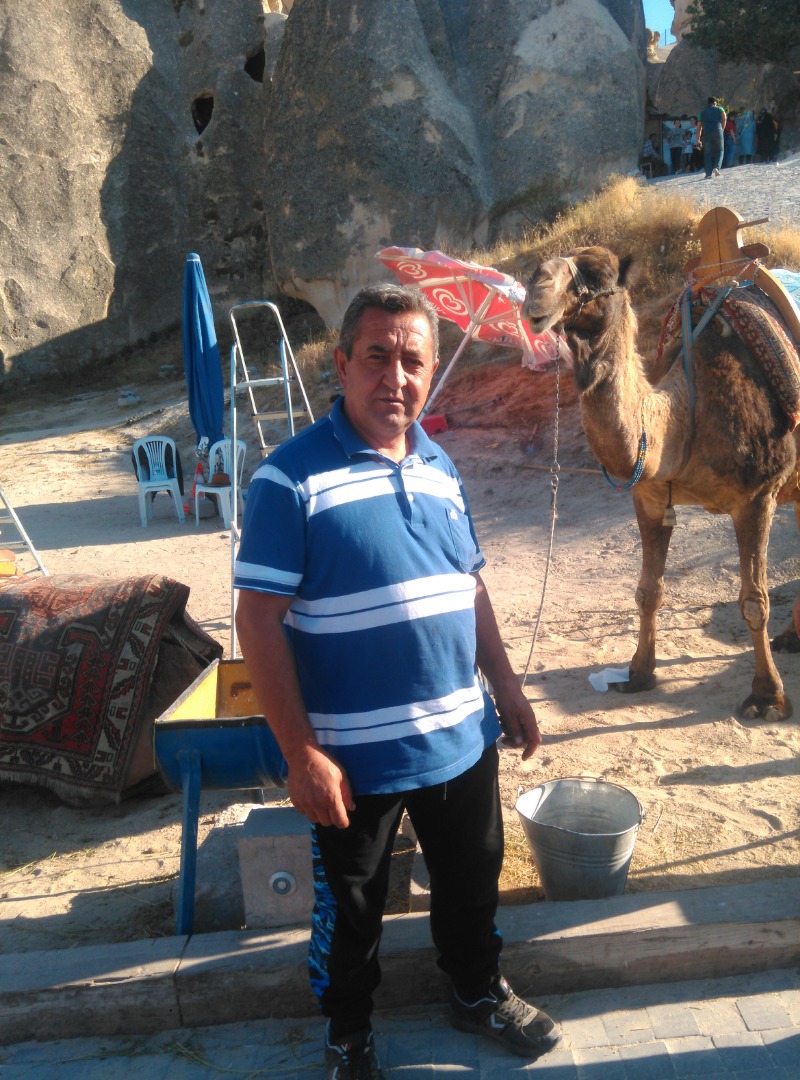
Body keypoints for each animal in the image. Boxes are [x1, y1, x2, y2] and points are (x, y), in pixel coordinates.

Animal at [521, 227, 800, 722]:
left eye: (599, 276)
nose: (536, 288)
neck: (686, 414)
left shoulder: (758, 496)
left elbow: (754, 601)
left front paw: (767, 698)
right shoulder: (650, 498)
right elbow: (648, 591)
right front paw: (638, 673)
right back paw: (793, 638)